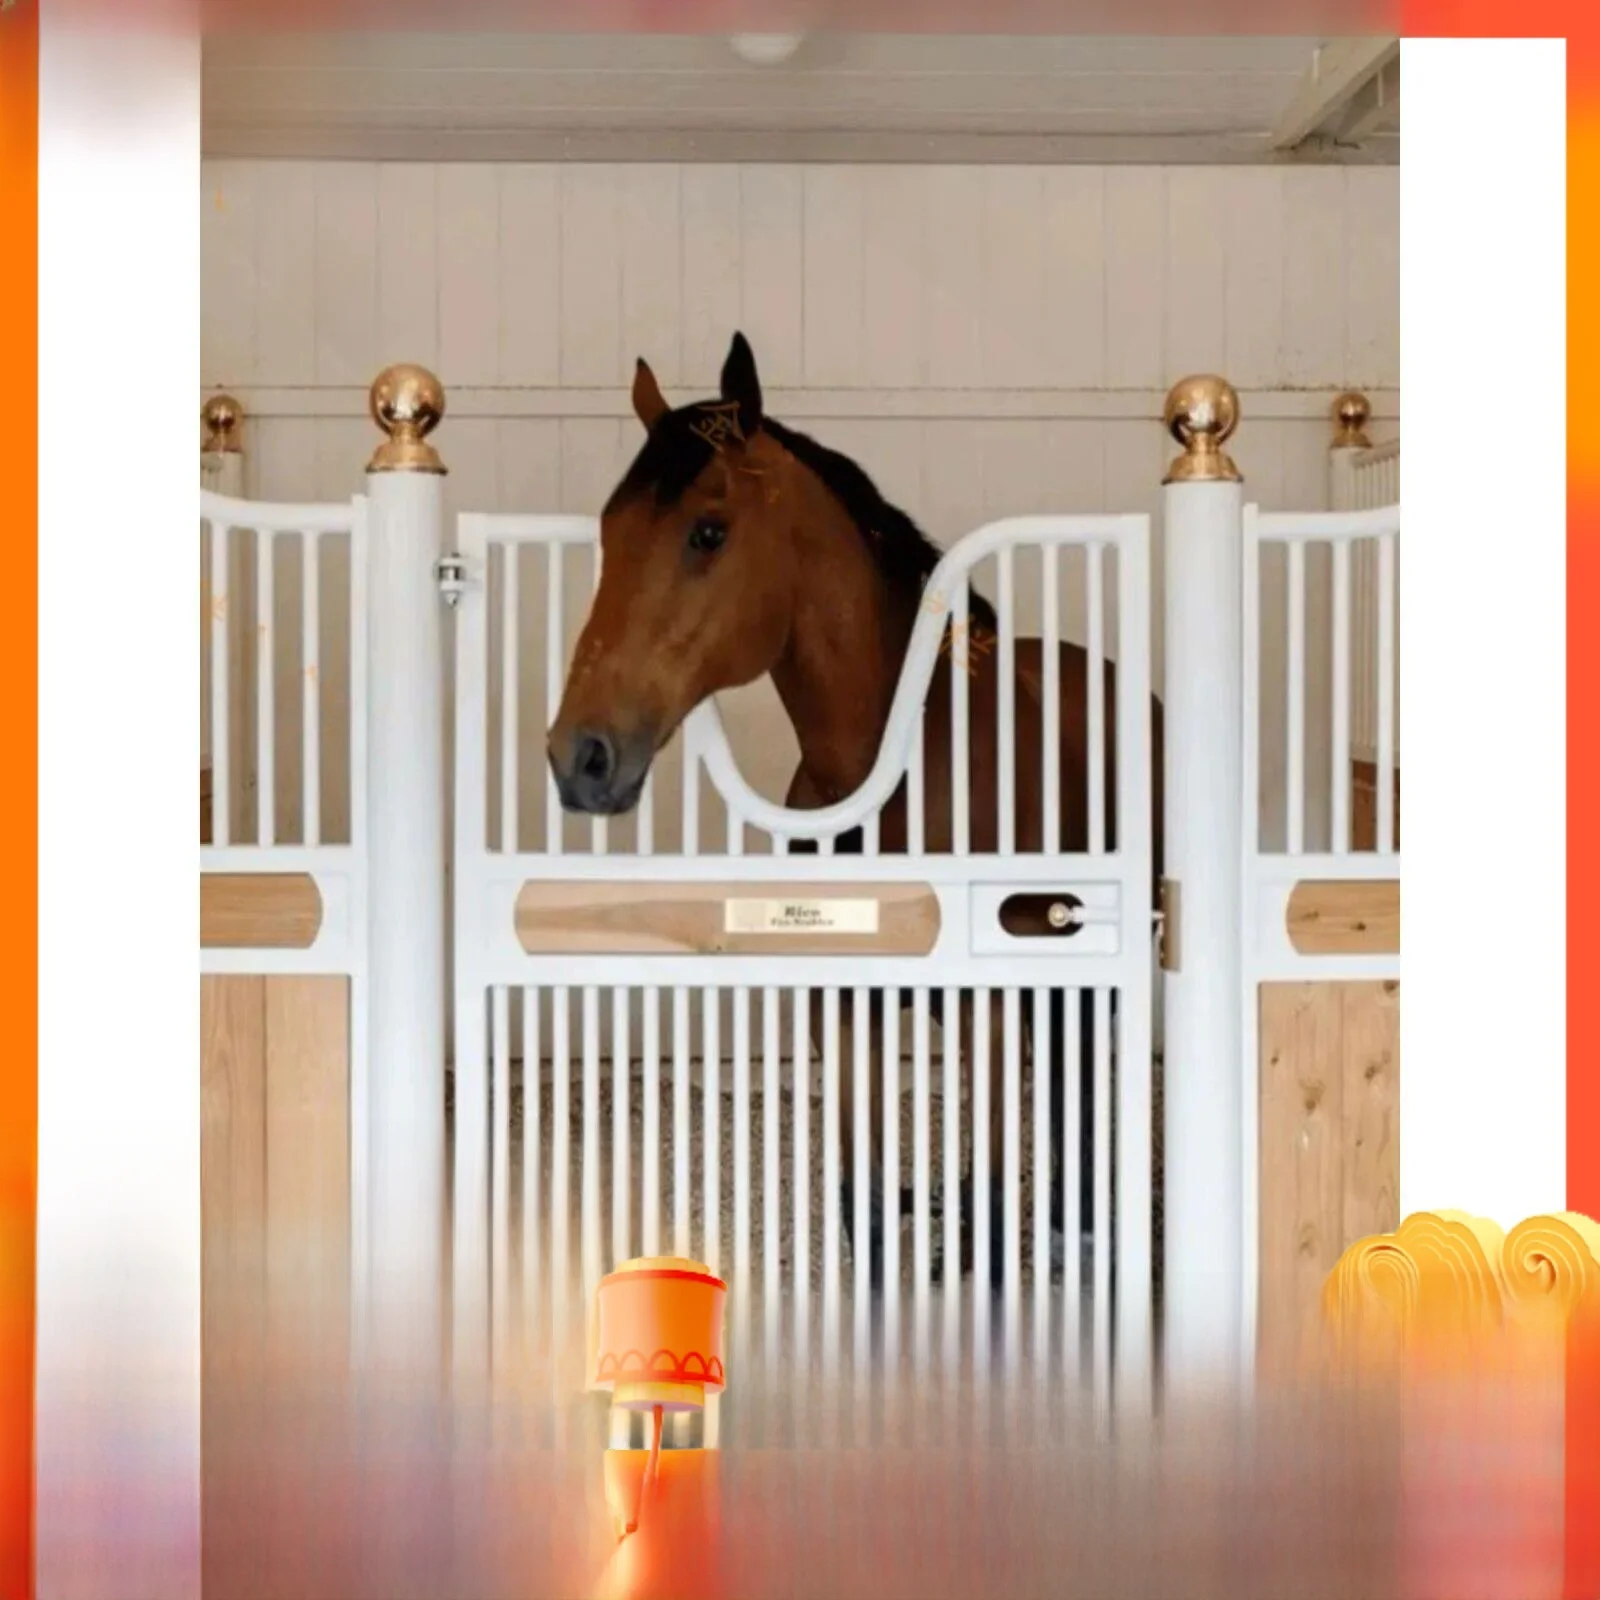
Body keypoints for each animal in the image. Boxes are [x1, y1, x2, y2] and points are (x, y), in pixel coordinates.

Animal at [548, 331, 1165, 1290]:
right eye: (612, 534)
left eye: (708, 532)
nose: (581, 756)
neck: (895, 777)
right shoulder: (844, 1010)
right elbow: (864, 1214)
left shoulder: (988, 1009)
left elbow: (994, 1228)